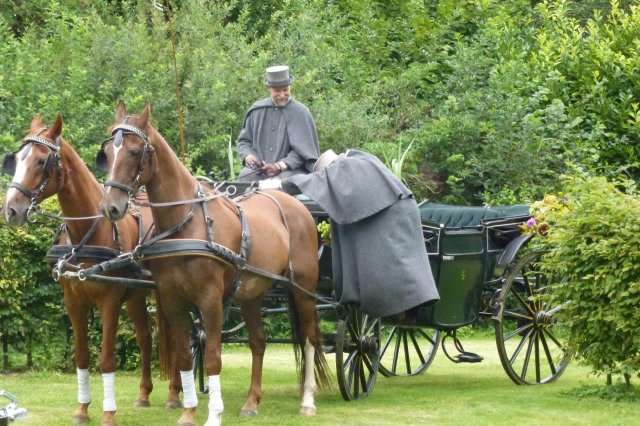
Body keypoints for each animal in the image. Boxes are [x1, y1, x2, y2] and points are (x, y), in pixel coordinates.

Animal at [2, 114, 180, 426]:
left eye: (41, 161)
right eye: (18, 159)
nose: (10, 210)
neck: (89, 232)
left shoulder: (108, 302)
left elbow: (106, 360)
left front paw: (108, 413)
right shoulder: (74, 303)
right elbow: (82, 357)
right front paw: (82, 409)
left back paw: (173, 394)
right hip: (135, 296)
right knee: (146, 338)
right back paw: (143, 394)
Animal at [100, 100, 330, 426]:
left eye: (134, 151)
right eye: (108, 153)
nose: (111, 207)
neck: (186, 223)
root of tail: (296, 205)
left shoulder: (210, 300)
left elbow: (212, 359)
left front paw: (213, 415)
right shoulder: (173, 300)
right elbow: (184, 356)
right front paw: (187, 411)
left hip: (303, 289)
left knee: (310, 338)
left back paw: (307, 400)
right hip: (252, 293)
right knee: (259, 342)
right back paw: (251, 402)